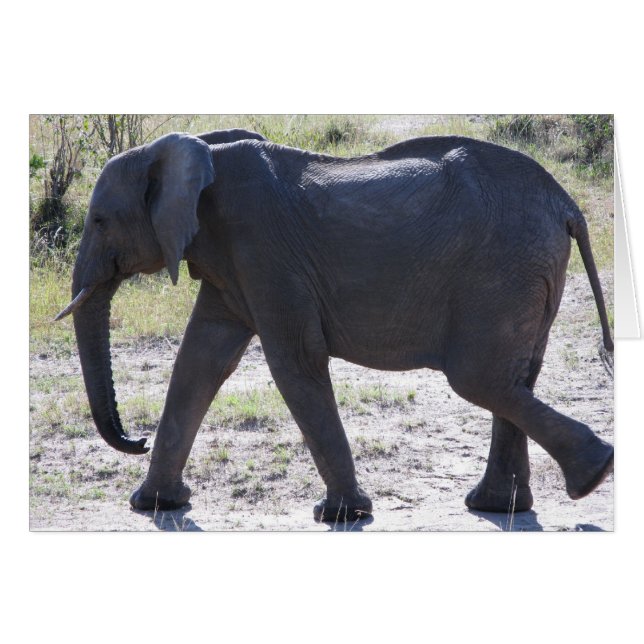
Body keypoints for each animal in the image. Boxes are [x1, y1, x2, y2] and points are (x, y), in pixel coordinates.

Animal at [56, 129, 614, 522]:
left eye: (100, 221)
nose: (137, 439)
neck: (198, 148)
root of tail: (567, 205)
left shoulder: (262, 249)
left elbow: (294, 360)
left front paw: (342, 514)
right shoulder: (231, 263)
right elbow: (200, 359)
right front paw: (154, 504)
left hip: (504, 268)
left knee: (479, 378)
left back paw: (592, 474)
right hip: (529, 268)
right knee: (515, 377)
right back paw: (502, 505)